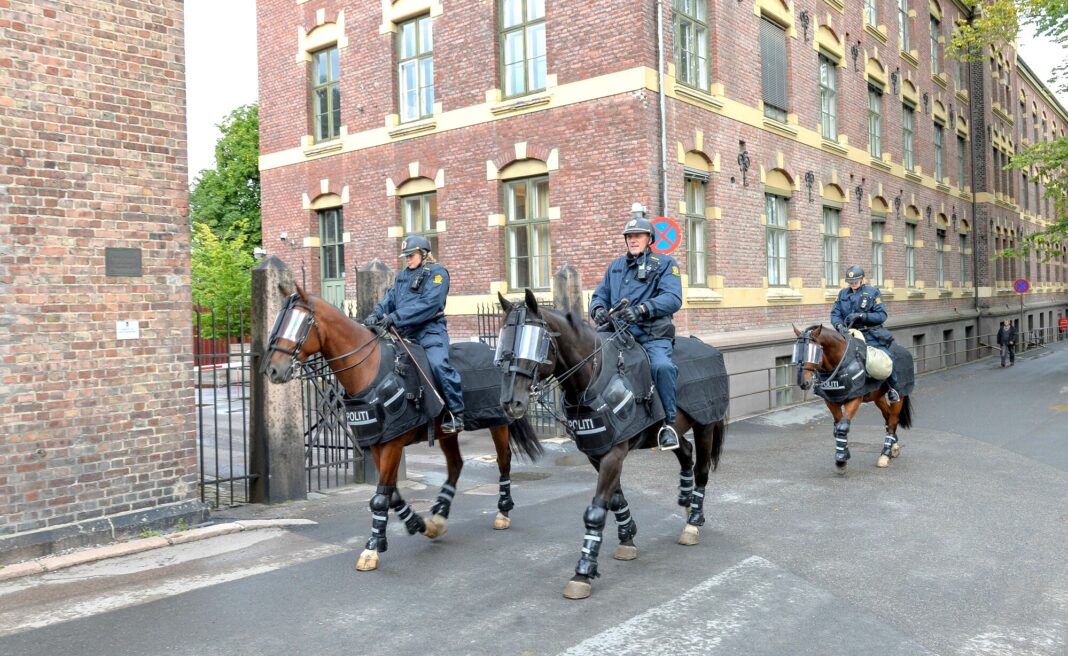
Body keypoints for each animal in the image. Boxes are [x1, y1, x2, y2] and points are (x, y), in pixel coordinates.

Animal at [259, 286, 542, 572]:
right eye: (279, 319)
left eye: (301, 322)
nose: (273, 369)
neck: (370, 371)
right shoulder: (376, 444)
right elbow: (391, 494)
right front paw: (418, 524)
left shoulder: (392, 444)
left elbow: (381, 497)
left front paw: (372, 548)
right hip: (446, 432)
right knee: (456, 465)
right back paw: (439, 515)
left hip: (498, 424)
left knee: (503, 460)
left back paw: (503, 511)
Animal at [497, 290, 730, 598]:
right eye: (504, 339)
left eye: (535, 342)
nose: (511, 403)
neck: (592, 378)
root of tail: (709, 347)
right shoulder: (597, 453)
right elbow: (616, 497)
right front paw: (627, 536)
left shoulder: (614, 454)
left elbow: (596, 510)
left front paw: (583, 571)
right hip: (675, 429)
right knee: (686, 454)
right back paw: (685, 501)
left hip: (705, 425)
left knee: (702, 469)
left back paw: (693, 521)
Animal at [790, 324, 914, 472]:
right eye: (797, 350)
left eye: (814, 352)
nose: (803, 382)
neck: (841, 362)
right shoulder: (831, 401)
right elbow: (837, 427)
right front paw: (843, 456)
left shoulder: (855, 399)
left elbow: (843, 426)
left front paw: (841, 460)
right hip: (878, 397)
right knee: (888, 417)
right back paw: (894, 447)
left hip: (899, 396)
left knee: (893, 420)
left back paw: (885, 454)